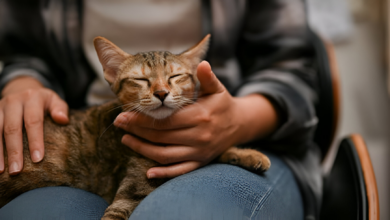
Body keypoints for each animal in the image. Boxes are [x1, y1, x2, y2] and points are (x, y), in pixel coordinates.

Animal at [0, 34, 272, 220]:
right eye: (140, 80)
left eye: (175, 76)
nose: (161, 93)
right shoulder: (130, 192)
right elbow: (116, 213)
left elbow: (212, 152)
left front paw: (248, 155)